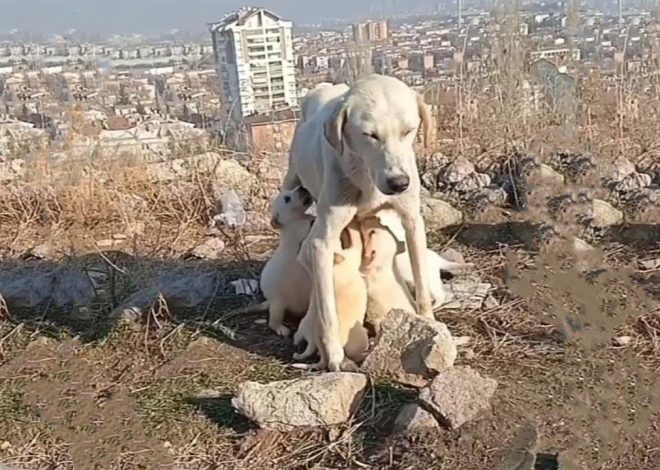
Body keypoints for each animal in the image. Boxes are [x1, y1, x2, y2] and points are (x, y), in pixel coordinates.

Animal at [260, 185, 316, 336]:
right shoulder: (299, 229)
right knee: (273, 320)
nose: (301, 187)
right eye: (287, 198)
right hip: (278, 303)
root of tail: (269, 301)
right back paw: (281, 329)